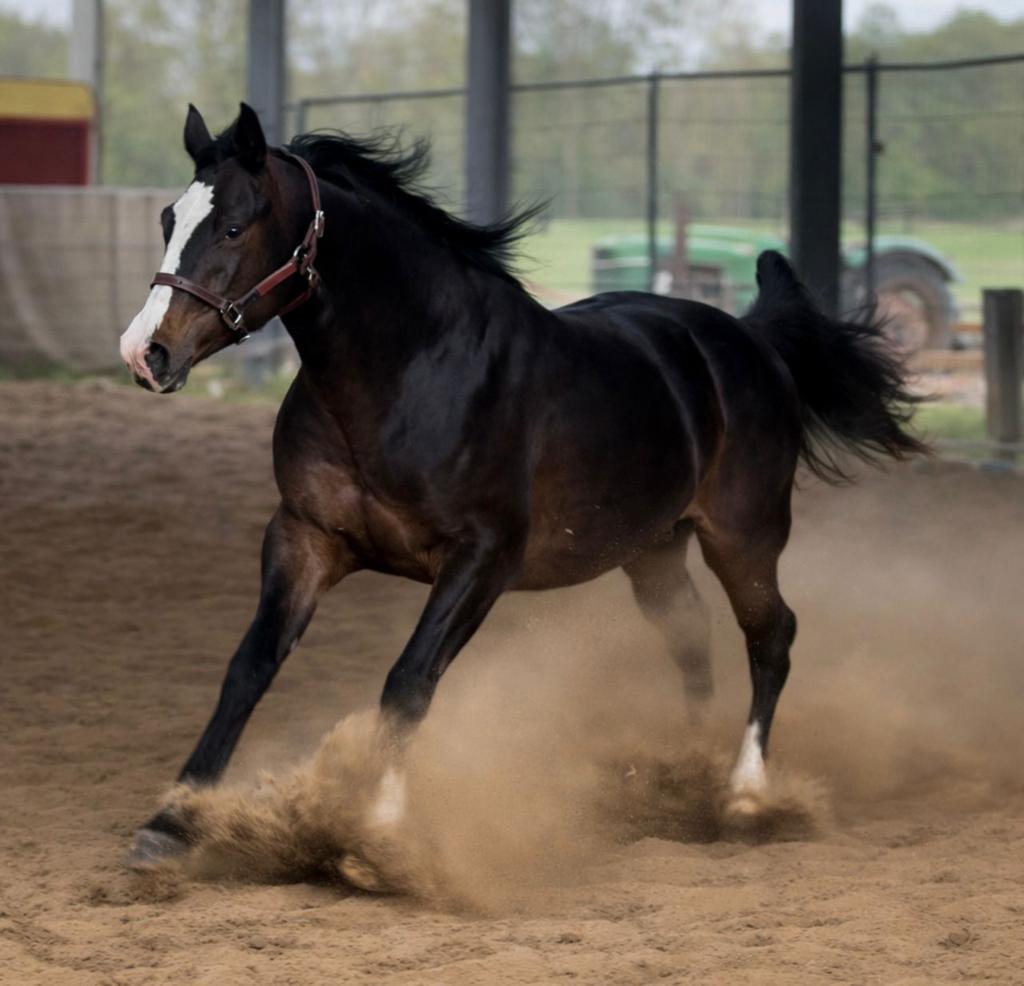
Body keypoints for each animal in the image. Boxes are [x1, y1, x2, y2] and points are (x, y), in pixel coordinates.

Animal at [120, 103, 924, 871]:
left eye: (232, 225)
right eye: (167, 221)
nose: (144, 352)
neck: (407, 371)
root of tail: (751, 341)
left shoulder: (483, 558)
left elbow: (408, 682)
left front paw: (378, 832)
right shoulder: (305, 537)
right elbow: (248, 668)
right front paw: (170, 824)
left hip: (745, 536)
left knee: (771, 636)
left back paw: (745, 796)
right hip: (654, 549)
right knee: (691, 636)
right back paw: (685, 773)